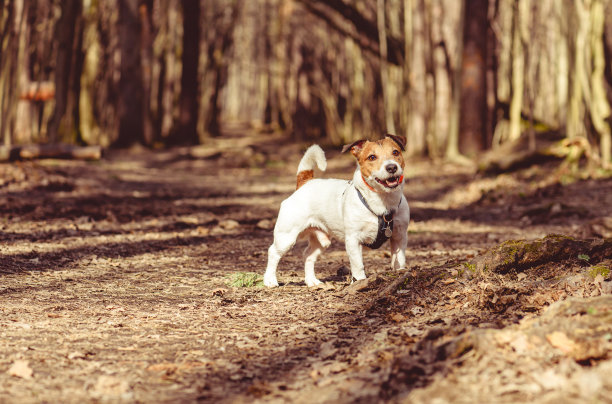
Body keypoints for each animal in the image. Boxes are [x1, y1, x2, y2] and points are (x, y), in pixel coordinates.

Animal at [264, 135, 412, 288]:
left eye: (395, 152)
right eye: (372, 157)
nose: (392, 167)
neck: (383, 202)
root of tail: (305, 183)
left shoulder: (399, 236)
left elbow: (399, 260)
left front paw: (399, 274)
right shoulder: (353, 240)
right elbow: (358, 266)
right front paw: (360, 281)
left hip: (321, 240)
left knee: (308, 255)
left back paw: (311, 281)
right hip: (286, 237)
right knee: (273, 252)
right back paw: (270, 280)